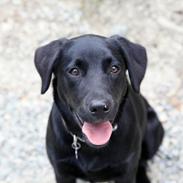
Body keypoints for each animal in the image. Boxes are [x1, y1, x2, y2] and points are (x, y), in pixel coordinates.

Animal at [34, 34, 164, 183]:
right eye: (74, 71)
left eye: (114, 68)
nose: (100, 108)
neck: (91, 147)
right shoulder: (62, 171)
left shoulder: (126, 171)